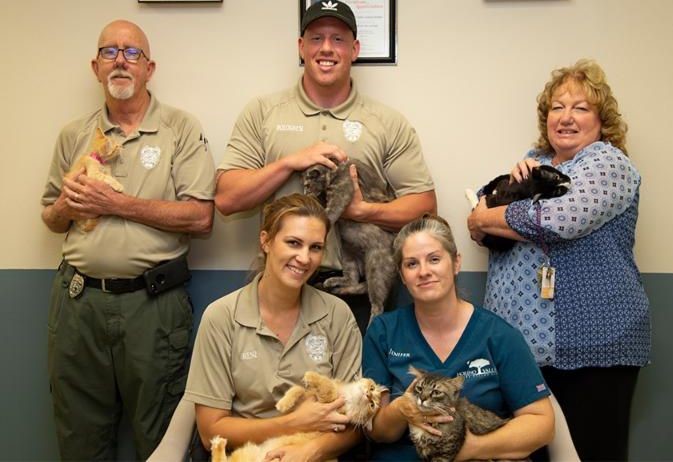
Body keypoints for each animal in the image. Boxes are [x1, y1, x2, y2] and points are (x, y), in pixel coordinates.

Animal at [302, 159, 396, 324]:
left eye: (307, 185)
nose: (305, 193)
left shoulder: (342, 192)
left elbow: (330, 212)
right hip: (347, 255)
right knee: (353, 281)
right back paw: (333, 284)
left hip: (376, 268)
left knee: (377, 303)